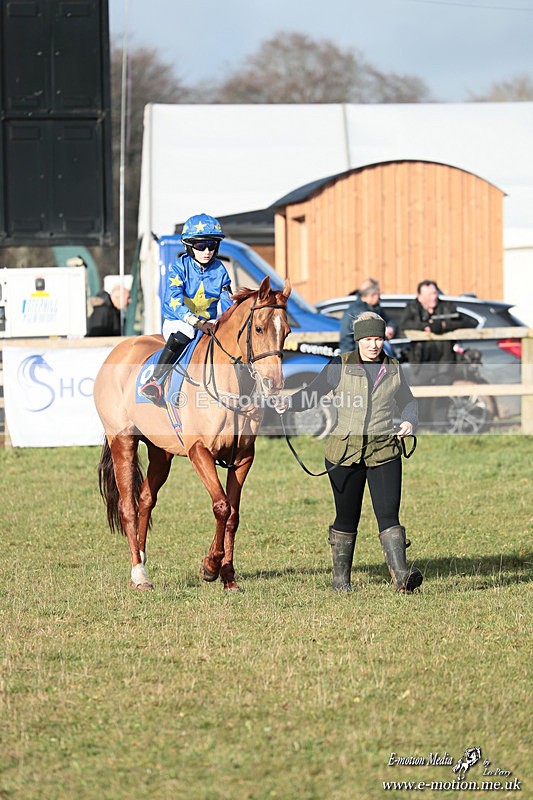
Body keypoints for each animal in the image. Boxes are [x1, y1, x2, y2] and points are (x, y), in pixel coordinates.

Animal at [93, 276, 291, 592]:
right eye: (259, 328)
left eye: (287, 331)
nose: (274, 383)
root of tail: (121, 347)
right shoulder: (200, 451)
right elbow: (222, 506)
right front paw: (210, 566)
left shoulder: (243, 458)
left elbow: (233, 515)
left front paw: (228, 576)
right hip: (122, 441)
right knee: (127, 507)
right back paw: (139, 574)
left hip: (161, 452)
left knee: (145, 499)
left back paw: (143, 557)